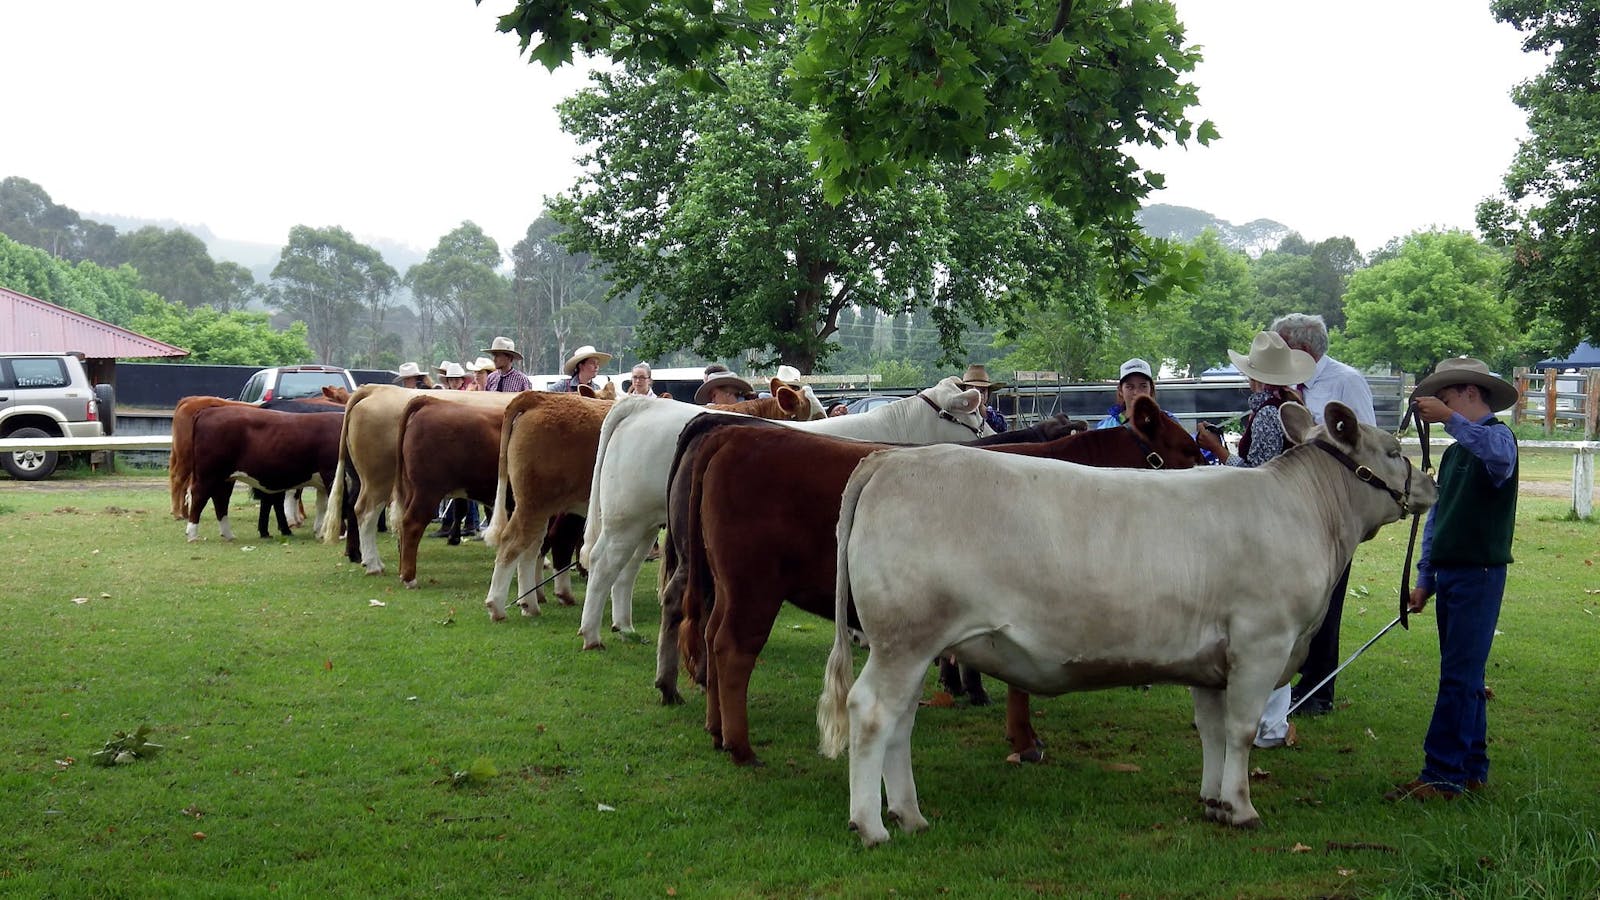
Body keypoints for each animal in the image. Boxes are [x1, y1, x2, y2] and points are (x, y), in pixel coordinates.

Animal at [582, 374, 992, 646]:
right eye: (975, 413)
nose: (989, 435)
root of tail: (642, 403)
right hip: (624, 517)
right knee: (603, 562)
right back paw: (592, 634)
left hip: (644, 520)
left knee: (626, 569)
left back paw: (624, 627)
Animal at [662, 393, 1203, 762]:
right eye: (1186, 447)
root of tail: (730, 432)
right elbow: (1020, 682)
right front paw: (1024, 739)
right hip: (753, 585)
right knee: (731, 648)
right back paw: (740, 746)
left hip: (725, 583)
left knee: (709, 636)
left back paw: (716, 729)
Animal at [819, 398, 1433, 839]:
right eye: (1392, 449)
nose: (1430, 481)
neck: (1306, 510)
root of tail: (892, 459)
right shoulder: (1261, 642)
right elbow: (1240, 729)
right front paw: (1241, 808)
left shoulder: (1212, 661)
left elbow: (1212, 732)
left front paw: (1213, 802)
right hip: (904, 639)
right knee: (871, 712)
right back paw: (870, 825)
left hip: (914, 646)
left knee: (900, 722)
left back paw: (908, 814)